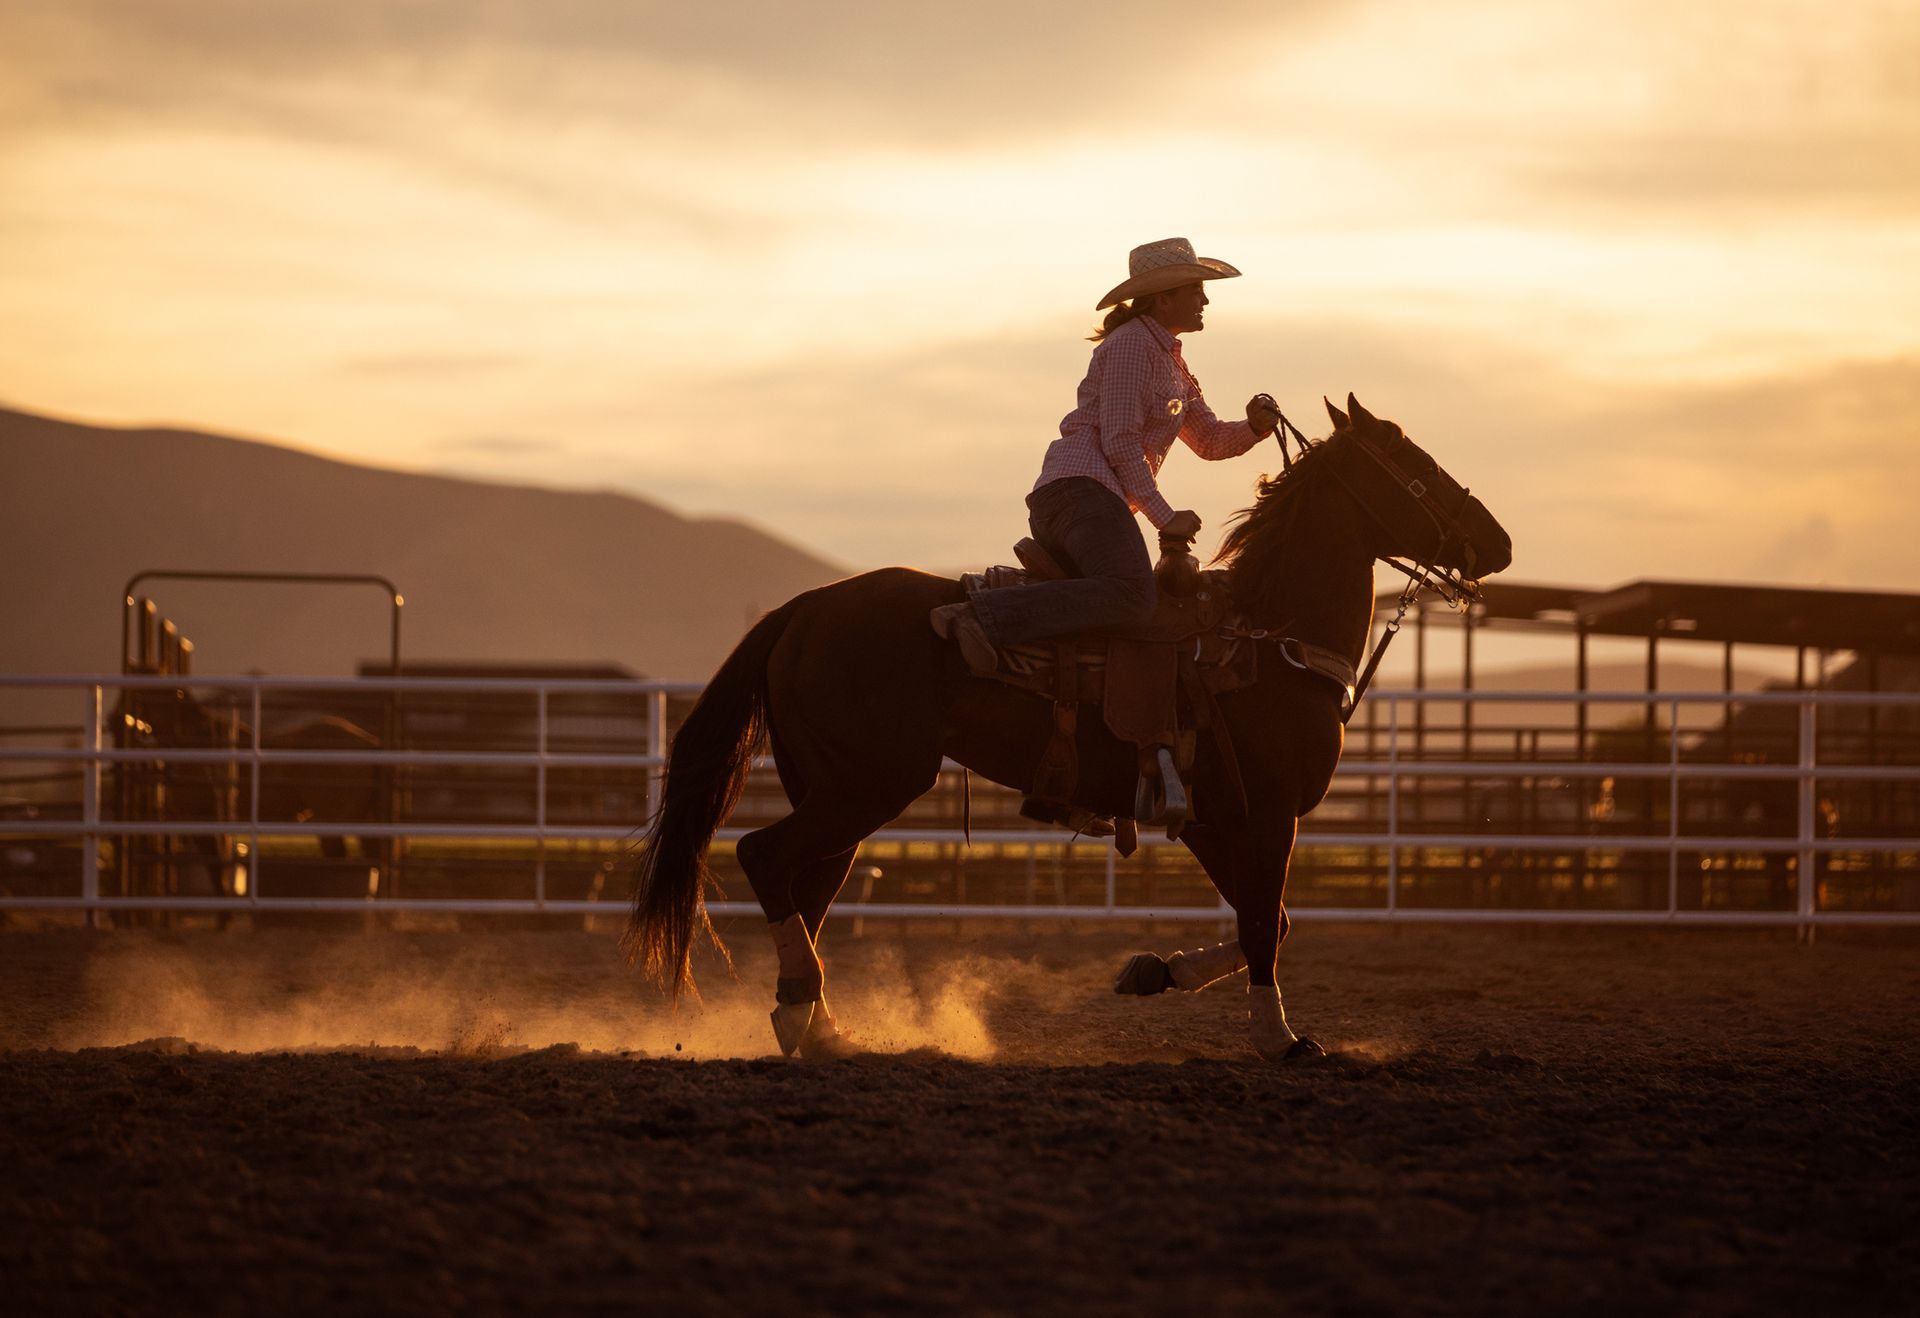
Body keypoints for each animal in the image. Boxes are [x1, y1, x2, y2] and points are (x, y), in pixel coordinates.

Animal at [624, 395, 1513, 1061]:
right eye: (1416, 466)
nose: (1498, 542)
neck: (1267, 642)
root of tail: (804, 607)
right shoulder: (1265, 814)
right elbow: (1267, 922)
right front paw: (1280, 1038)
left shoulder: (1212, 816)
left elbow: (1268, 920)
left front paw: (1153, 971)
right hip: (866, 785)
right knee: (764, 857)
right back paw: (802, 1015)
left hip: (837, 791)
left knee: (807, 888)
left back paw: (818, 1027)